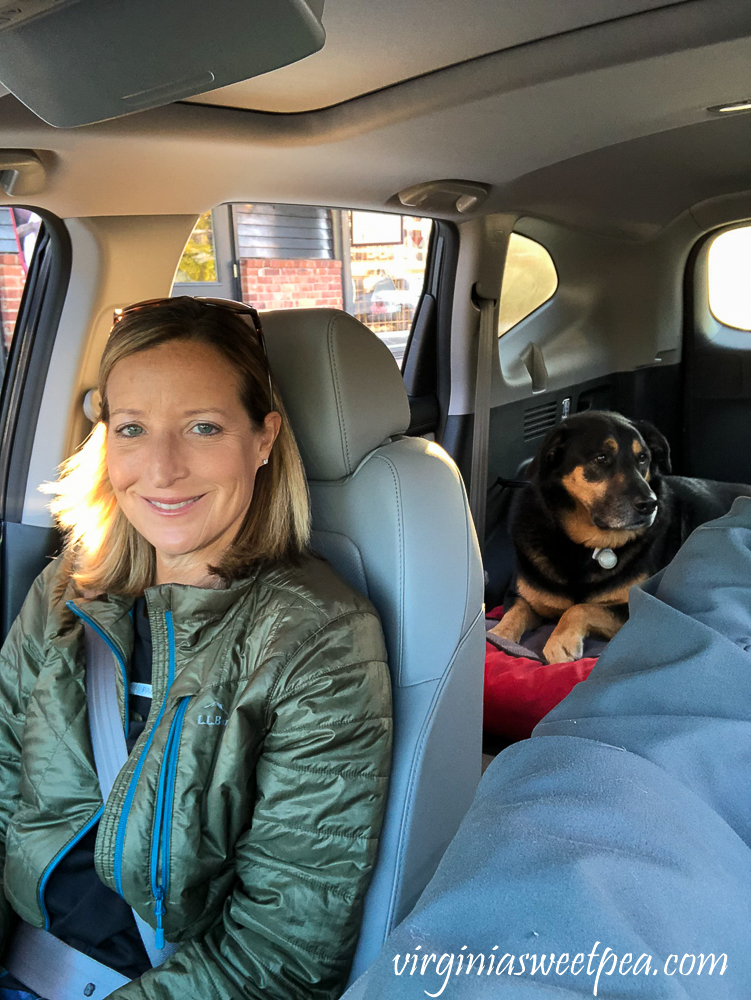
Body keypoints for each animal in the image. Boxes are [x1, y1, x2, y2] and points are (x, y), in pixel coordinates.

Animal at [490, 410, 748, 668]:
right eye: (601, 458)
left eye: (642, 459)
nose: (650, 504)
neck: (583, 546)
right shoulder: (520, 596)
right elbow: (514, 615)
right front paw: (497, 634)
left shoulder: (635, 605)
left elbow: (581, 608)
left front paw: (560, 640)